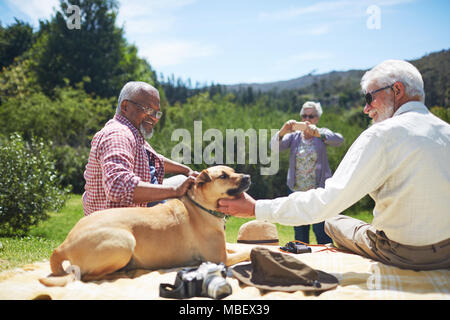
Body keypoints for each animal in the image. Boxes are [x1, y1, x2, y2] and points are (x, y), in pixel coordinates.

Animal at [39, 166, 251, 286]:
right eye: (223, 176)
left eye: (233, 170)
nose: (248, 177)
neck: (201, 205)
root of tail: (63, 245)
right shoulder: (220, 258)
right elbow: (245, 251)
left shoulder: (224, 249)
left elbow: (235, 247)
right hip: (124, 242)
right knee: (88, 276)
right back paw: (123, 274)